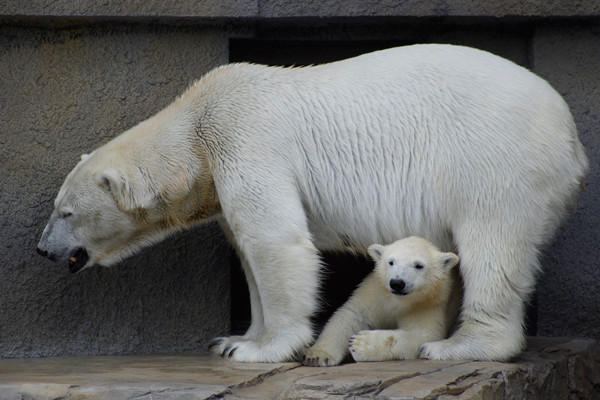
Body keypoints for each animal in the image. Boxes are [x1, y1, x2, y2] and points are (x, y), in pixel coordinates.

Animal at [37, 43, 584, 362]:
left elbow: (275, 242)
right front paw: (234, 339)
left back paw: (459, 346)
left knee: (494, 244)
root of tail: (572, 139)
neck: (197, 126)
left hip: (496, 160)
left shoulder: (247, 140)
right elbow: (249, 252)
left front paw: (262, 350)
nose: (42, 249)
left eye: (66, 212)